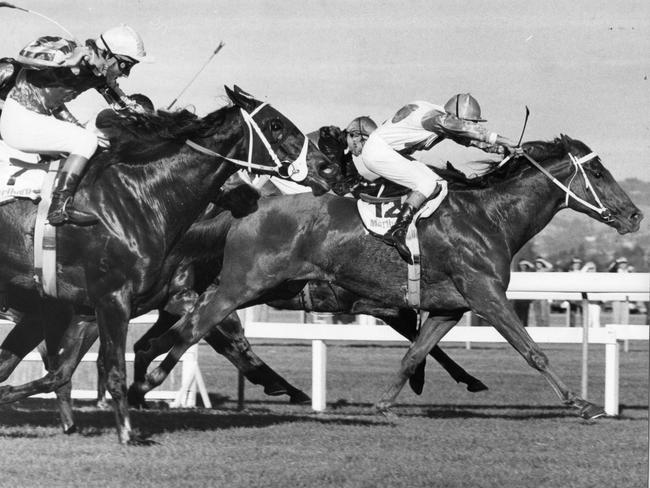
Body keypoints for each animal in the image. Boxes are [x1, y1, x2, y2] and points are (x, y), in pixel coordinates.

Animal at [0, 86, 340, 444]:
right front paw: (128, 431)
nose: (326, 167)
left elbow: (59, 372)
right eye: (275, 124)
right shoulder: (111, 299)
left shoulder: (89, 309)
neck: (139, 198)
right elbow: (114, 367)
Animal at [133, 136, 644, 420]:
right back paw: (154, 377)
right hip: (242, 284)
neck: (488, 217)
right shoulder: (486, 295)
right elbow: (532, 351)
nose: (635, 215)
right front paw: (583, 404)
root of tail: (246, 205)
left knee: (172, 333)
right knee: (203, 328)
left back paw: (142, 379)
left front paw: (385, 403)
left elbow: (415, 351)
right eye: (599, 172)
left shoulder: (447, 307)